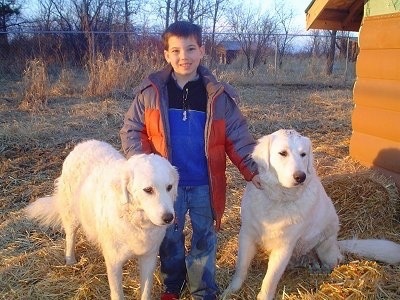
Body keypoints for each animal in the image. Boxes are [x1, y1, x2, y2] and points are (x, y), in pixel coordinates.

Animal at [25, 140, 179, 300]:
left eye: (169, 187)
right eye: (148, 190)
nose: (169, 218)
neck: (135, 220)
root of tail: (84, 143)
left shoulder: (149, 257)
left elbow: (146, 292)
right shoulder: (114, 262)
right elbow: (117, 294)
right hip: (72, 216)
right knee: (70, 237)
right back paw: (70, 260)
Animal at [223, 129, 400, 300]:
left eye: (303, 154)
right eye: (283, 153)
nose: (301, 177)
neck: (280, 198)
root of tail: (336, 242)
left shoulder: (284, 246)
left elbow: (269, 279)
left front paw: (263, 295)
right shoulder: (247, 235)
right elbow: (241, 268)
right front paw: (231, 291)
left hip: (325, 250)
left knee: (338, 259)